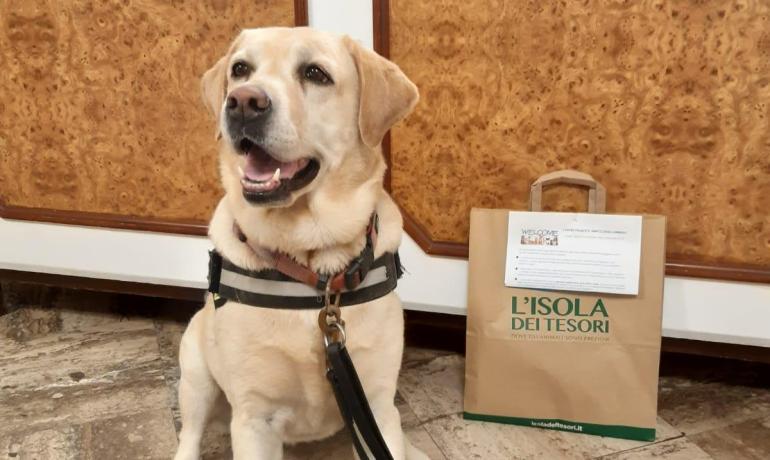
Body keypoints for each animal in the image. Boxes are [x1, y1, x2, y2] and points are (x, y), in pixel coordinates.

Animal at [172, 28, 424, 460]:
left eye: (315, 73)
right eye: (240, 69)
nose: (242, 103)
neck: (311, 267)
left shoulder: (375, 406)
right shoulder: (254, 420)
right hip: (196, 372)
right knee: (189, 434)